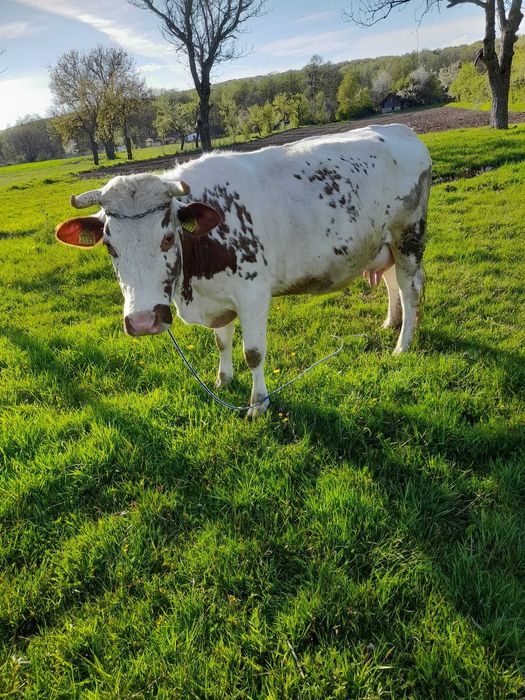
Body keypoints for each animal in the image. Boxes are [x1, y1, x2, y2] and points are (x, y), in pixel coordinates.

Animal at [56, 124, 431, 417]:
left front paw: (258, 403)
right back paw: (390, 322)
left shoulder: (252, 295)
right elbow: (221, 341)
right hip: (381, 243)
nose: (143, 321)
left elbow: (253, 353)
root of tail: (401, 130)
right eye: (110, 246)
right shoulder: (219, 296)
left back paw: (402, 345)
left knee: (410, 289)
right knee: (391, 282)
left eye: (167, 237)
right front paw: (223, 379)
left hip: (408, 236)